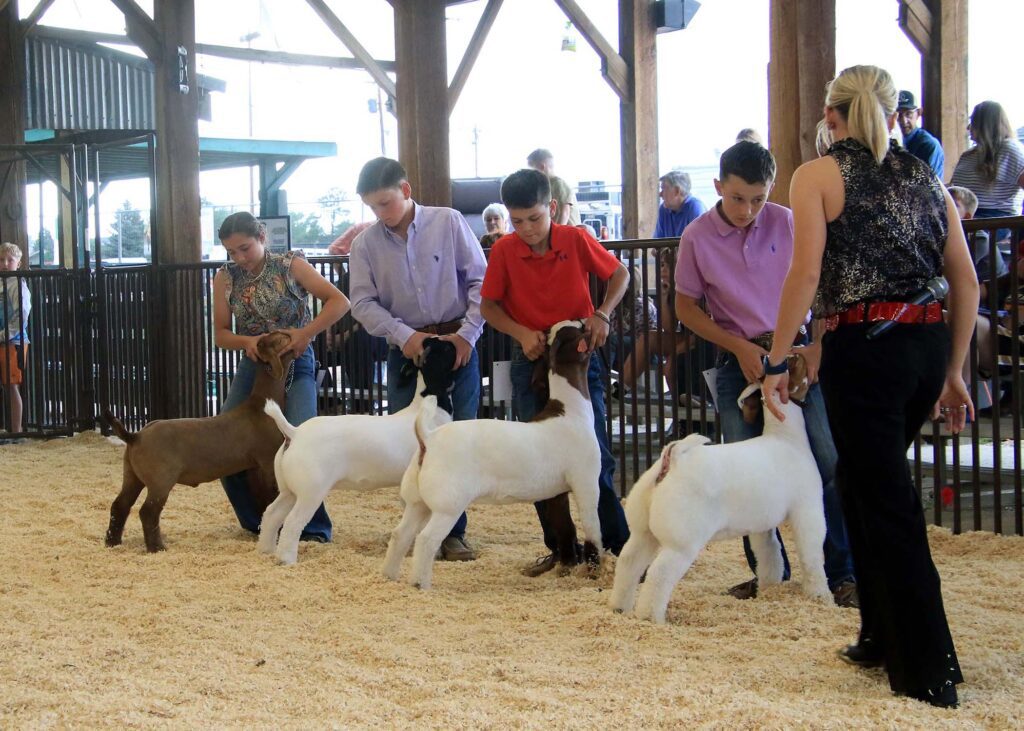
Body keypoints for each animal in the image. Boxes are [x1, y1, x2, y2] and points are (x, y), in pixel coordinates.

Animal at [104, 331, 294, 552]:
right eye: (280, 338)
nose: (291, 333)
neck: (261, 405)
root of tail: (135, 436)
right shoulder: (267, 460)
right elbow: (271, 497)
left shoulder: (254, 467)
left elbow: (262, 501)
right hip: (160, 479)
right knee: (148, 511)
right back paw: (157, 547)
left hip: (132, 475)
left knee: (120, 504)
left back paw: (113, 542)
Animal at [257, 338, 457, 565]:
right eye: (446, 348)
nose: (454, 342)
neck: (429, 407)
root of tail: (295, 432)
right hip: (310, 492)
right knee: (292, 523)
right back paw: (287, 560)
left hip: (289, 490)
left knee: (272, 514)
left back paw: (266, 550)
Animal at [382, 320, 603, 590]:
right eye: (578, 329)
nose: (586, 321)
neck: (570, 411)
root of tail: (428, 438)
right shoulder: (586, 482)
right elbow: (592, 527)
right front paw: (593, 571)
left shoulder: (556, 492)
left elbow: (565, 527)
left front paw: (566, 567)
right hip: (447, 505)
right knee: (426, 540)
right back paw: (420, 584)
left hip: (417, 502)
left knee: (401, 534)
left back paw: (389, 576)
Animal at [609, 354, 830, 624]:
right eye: (794, 361)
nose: (805, 354)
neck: (786, 438)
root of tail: (672, 460)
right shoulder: (807, 509)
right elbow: (811, 556)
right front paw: (820, 595)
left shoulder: (762, 525)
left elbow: (769, 553)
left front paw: (769, 587)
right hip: (681, 540)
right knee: (660, 574)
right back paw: (652, 618)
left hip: (643, 531)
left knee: (628, 563)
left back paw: (620, 607)